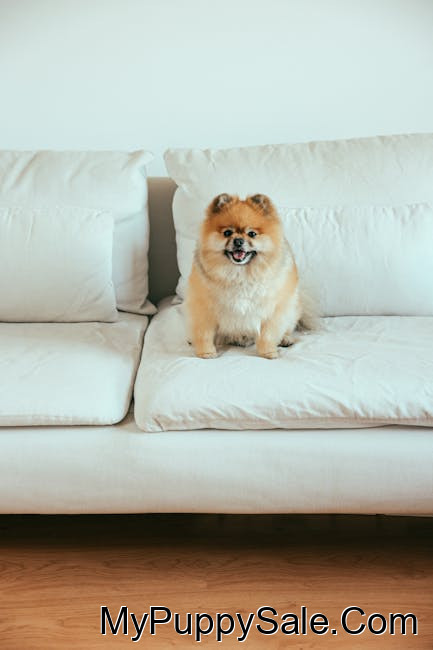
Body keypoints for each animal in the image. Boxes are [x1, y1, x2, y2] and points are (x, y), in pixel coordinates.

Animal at [186, 192, 313, 359]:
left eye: (252, 234)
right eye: (227, 233)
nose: (238, 241)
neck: (240, 274)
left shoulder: (273, 309)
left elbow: (268, 334)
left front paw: (268, 352)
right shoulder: (204, 307)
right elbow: (204, 333)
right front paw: (206, 352)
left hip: (292, 309)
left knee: (287, 327)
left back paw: (285, 339)